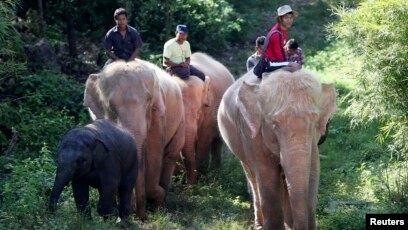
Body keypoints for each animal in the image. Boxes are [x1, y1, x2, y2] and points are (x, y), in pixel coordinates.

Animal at [83, 59, 185, 221]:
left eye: (149, 100)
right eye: (110, 106)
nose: (142, 217)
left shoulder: (158, 115)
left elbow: (154, 152)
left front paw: (154, 202)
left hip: (181, 120)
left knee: (170, 155)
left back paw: (160, 204)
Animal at [173, 52, 236, 183]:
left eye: (198, 113)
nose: (188, 184)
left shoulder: (210, 113)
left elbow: (203, 140)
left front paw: (199, 177)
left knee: (217, 142)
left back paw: (215, 171)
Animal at [218, 70, 336, 230]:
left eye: (314, 122)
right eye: (274, 124)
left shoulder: (313, 143)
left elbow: (313, 172)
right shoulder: (252, 134)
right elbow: (267, 175)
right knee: (252, 176)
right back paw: (259, 225)